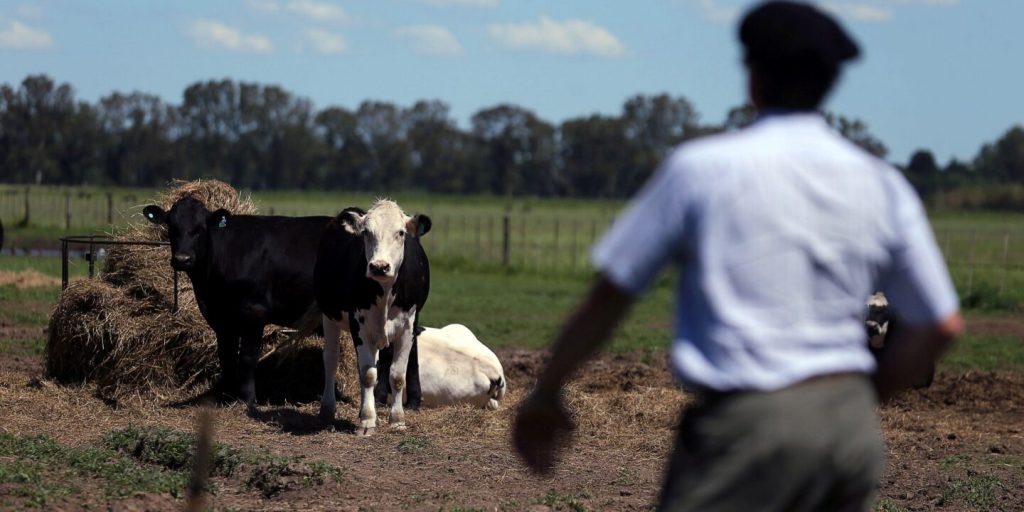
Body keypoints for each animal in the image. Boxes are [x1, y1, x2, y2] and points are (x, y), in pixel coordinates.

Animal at [141, 196, 327, 407]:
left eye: (201, 228)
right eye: (171, 226)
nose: (182, 259)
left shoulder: (255, 313)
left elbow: (246, 358)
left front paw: (247, 399)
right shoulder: (221, 318)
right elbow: (226, 356)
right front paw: (226, 396)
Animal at [313, 199, 430, 436]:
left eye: (401, 232)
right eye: (366, 232)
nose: (379, 266)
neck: (384, 292)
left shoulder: (408, 327)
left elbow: (397, 375)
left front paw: (397, 419)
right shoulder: (359, 325)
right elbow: (367, 374)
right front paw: (367, 420)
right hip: (329, 316)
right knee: (331, 360)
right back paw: (328, 409)